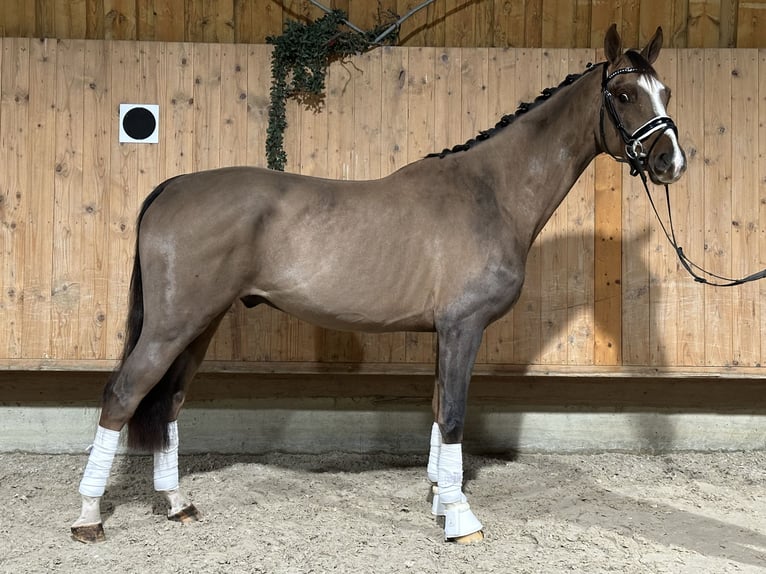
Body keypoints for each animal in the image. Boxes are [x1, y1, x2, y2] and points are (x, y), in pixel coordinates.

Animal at [72, 24, 688, 548]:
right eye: (625, 94)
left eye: (665, 91)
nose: (671, 162)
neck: (491, 192)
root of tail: (172, 186)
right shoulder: (463, 327)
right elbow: (455, 415)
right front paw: (461, 519)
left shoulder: (446, 333)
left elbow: (439, 410)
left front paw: (440, 501)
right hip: (173, 325)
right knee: (123, 395)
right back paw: (88, 519)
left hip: (200, 324)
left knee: (170, 402)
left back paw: (177, 504)